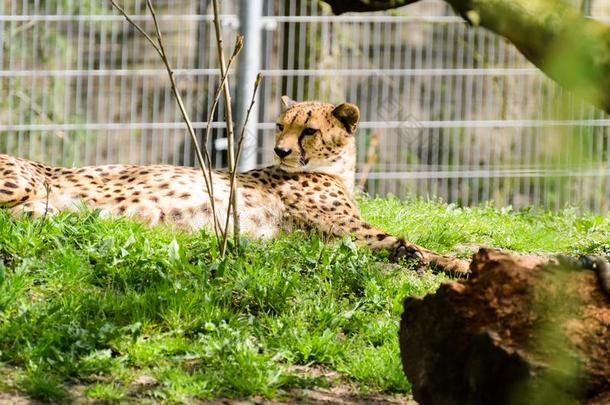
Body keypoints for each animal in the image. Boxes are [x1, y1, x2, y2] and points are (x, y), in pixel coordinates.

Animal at [0, 97, 468, 274]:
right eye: (280, 125)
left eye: (309, 130)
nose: (280, 150)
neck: (336, 168)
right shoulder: (350, 229)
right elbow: (406, 240)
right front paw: (461, 263)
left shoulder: (328, 237)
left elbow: (404, 244)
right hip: (18, 184)